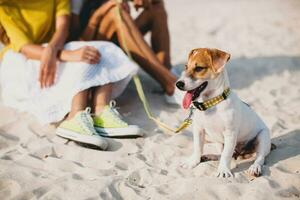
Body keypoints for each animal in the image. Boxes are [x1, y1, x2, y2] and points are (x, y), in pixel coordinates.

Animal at [176, 48, 272, 177]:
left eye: (199, 68)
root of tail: (241, 153)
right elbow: (198, 148)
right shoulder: (198, 129)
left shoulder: (230, 134)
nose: (178, 84)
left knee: (259, 157)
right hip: (217, 141)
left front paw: (223, 171)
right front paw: (193, 162)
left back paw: (254, 168)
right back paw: (208, 156)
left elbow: (226, 155)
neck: (212, 104)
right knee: (224, 154)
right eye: (186, 66)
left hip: (263, 137)